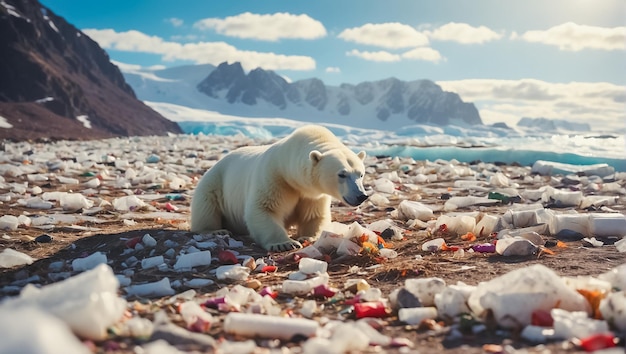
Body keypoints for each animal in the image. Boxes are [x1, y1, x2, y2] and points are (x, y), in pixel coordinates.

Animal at [188, 124, 368, 252]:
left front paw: (308, 237)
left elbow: (313, 215)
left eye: (360, 174)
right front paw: (285, 243)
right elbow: (264, 208)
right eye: (342, 174)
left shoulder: (312, 194)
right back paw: (216, 231)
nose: (361, 195)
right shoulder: (275, 178)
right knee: (206, 206)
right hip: (215, 182)